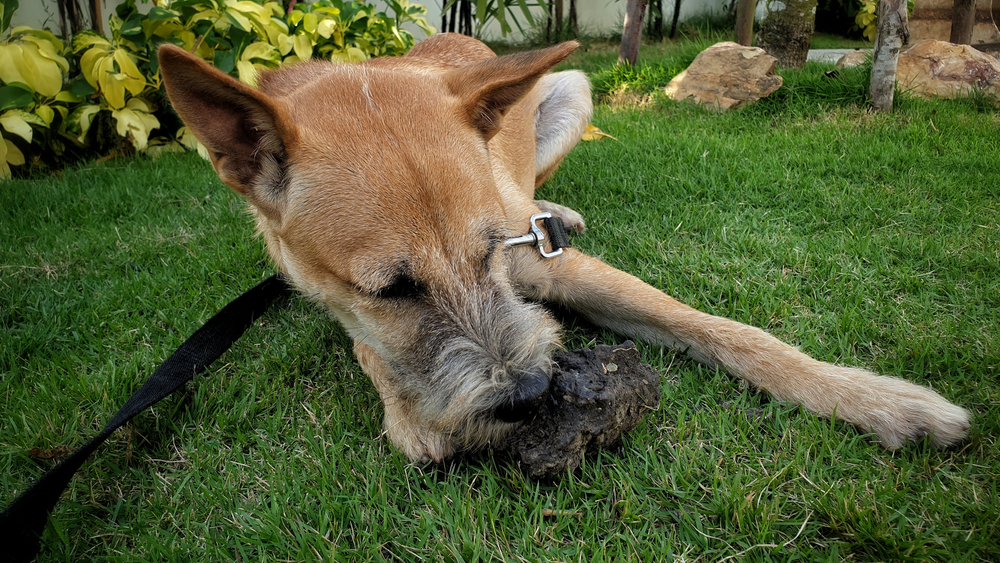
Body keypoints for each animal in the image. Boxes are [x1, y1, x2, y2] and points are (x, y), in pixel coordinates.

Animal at [156, 34, 968, 462]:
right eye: (390, 290)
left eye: (489, 251)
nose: (527, 394)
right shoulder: (327, 294)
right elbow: (367, 345)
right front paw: (413, 410)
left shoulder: (543, 261)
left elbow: (724, 329)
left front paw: (877, 399)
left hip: (573, 88)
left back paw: (558, 207)